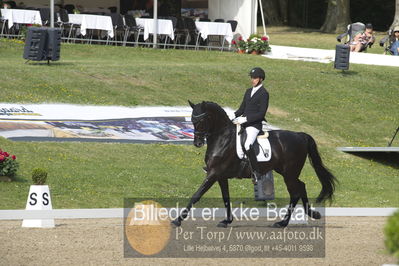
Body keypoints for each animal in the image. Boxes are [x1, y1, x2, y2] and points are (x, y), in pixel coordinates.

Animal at [172, 101, 338, 228]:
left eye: (201, 120)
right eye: (192, 120)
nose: (197, 143)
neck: (222, 138)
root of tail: (300, 135)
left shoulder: (213, 173)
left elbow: (196, 195)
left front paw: (177, 220)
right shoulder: (220, 176)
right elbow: (226, 198)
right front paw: (227, 221)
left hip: (289, 173)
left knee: (295, 192)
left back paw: (282, 223)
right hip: (286, 172)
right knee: (302, 186)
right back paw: (311, 214)